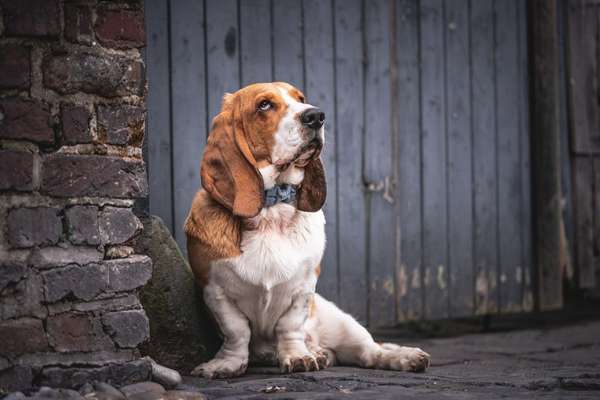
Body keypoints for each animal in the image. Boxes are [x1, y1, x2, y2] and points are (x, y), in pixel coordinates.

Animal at [185, 82, 428, 378]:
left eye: (300, 98)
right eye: (264, 105)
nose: (316, 116)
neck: (271, 209)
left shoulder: (304, 288)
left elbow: (289, 325)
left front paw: (297, 356)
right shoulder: (215, 290)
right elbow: (237, 330)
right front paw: (227, 364)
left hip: (343, 323)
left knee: (371, 351)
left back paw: (405, 357)